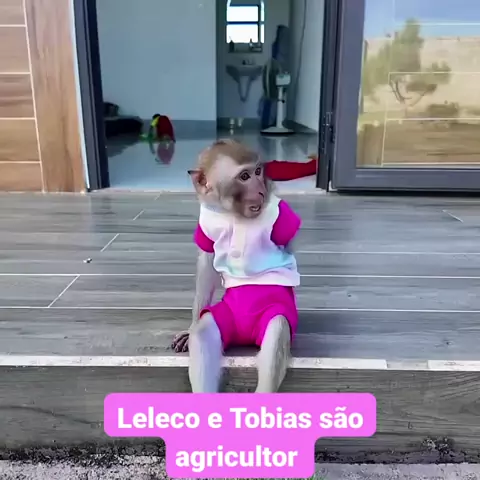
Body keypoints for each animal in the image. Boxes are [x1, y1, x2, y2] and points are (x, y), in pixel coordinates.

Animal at [171, 139, 301, 393]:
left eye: (258, 171)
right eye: (244, 176)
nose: (260, 189)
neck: (233, 213)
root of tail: (245, 335)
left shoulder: (283, 215)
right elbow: (208, 263)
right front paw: (190, 328)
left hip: (276, 310)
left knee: (277, 329)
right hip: (226, 313)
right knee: (205, 332)